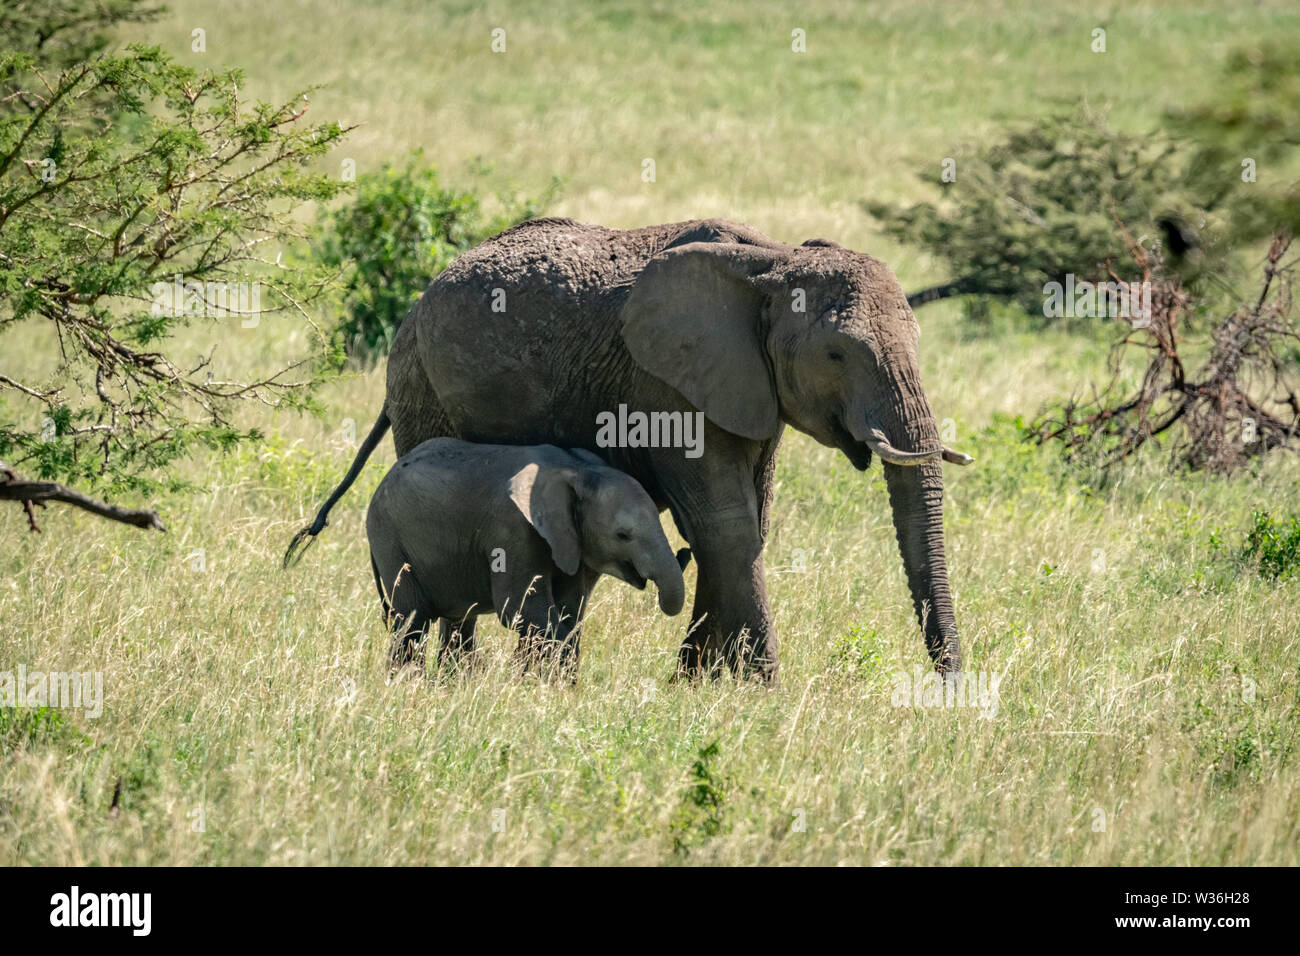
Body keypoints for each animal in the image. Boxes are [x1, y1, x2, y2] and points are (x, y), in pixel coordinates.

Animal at [367, 438, 690, 675]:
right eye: (623, 535)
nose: (684, 551)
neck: (578, 470)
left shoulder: (570, 541)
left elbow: (569, 609)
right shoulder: (512, 531)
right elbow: (518, 609)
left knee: (456, 619)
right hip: (390, 539)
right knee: (412, 620)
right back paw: (407, 684)